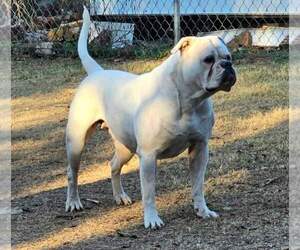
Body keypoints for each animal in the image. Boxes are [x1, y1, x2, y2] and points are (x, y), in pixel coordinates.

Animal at [65, 6, 237, 229]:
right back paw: (73, 202)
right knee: (72, 173)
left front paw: (202, 210)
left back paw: (120, 196)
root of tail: (96, 72)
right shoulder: (148, 156)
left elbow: (198, 185)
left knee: (113, 166)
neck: (188, 100)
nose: (227, 65)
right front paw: (152, 219)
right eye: (208, 59)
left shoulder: (200, 148)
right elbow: (149, 192)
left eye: (229, 56)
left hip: (125, 148)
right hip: (76, 144)